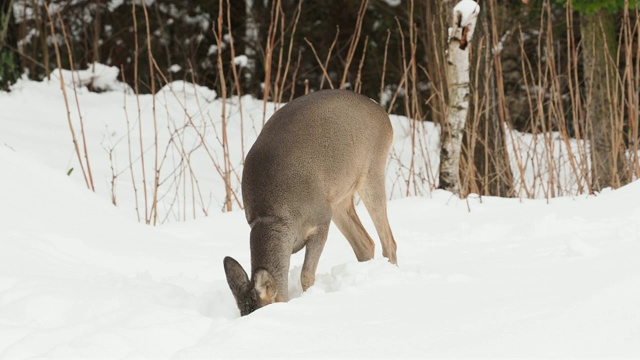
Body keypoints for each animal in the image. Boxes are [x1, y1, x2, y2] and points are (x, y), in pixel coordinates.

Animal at [224, 90, 396, 316]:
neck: (275, 217)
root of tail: (382, 113)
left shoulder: (320, 221)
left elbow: (306, 275)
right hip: (338, 198)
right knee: (366, 243)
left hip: (371, 170)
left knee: (388, 241)